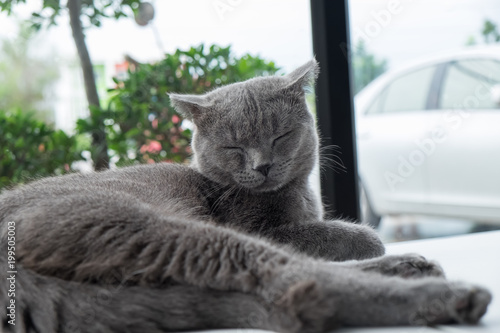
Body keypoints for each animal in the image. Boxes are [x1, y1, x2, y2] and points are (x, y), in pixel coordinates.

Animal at [0, 60, 492, 332]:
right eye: (235, 147)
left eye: (280, 136)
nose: (262, 166)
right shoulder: (262, 228)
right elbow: (349, 236)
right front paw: (366, 239)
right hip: (140, 225)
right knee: (292, 279)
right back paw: (447, 292)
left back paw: (414, 267)